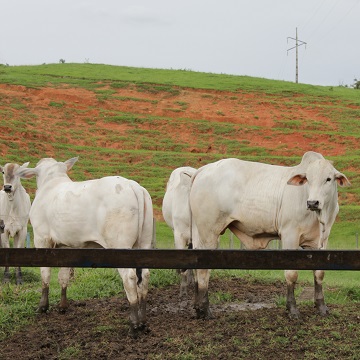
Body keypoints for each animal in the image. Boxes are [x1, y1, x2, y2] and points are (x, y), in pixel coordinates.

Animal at [16, 156, 153, 336]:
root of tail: (132, 185)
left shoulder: (42, 238)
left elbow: (45, 274)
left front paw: (42, 306)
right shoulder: (66, 246)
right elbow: (63, 276)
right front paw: (62, 306)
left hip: (120, 245)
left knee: (129, 278)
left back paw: (134, 324)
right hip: (144, 243)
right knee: (144, 276)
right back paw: (143, 322)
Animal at [190, 150, 350, 320]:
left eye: (328, 179)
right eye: (308, 179)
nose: (312, 203)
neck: (320, 217)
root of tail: (203, 170)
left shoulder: (320, 241)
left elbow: (319, 273)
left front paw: (321, 307)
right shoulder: (289, 234)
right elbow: (292, 274)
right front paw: (292, 309)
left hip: (200, 233)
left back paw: (198, 308)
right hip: (209, 233)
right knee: (203, 270)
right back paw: (205, 309)